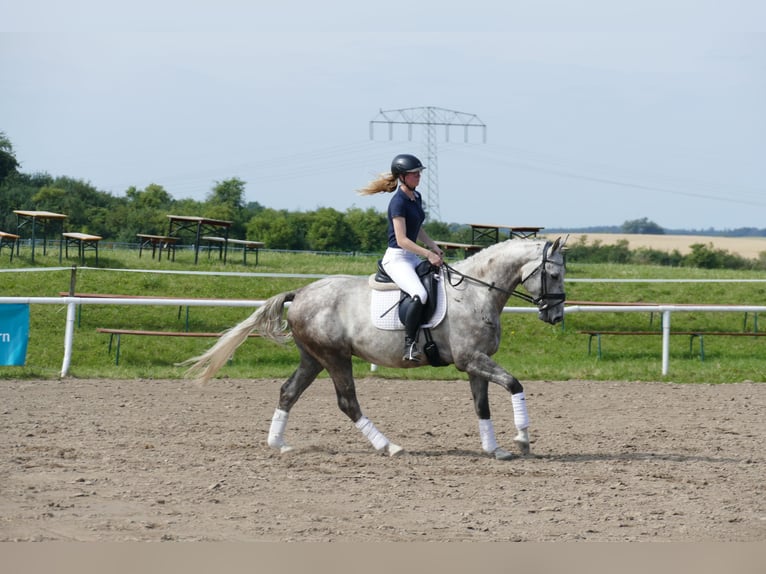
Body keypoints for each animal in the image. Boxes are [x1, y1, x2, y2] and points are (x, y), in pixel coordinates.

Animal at [183, 238, 568, 464]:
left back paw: (278, 444)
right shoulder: (470, 359)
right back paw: (389, 446)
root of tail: (301, 292)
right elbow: (515, 384)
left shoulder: (476, 363)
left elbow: (482, 405)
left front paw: (495, 448)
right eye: (553, 274)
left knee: (288, 392)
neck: (474, 292)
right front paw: (522, 439)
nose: (556, 316)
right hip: (335, 357)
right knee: (347, 402)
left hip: (313, 358)